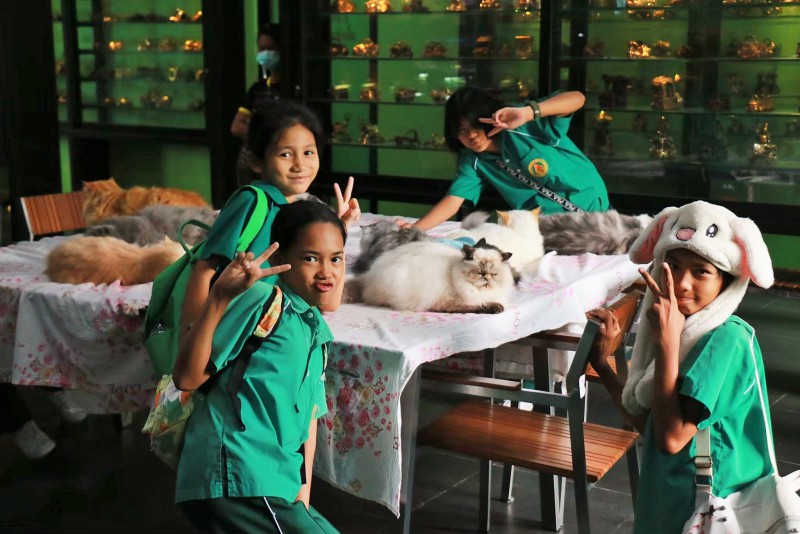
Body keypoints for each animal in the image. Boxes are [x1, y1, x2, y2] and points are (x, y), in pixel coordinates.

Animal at [350, 238, 516, 314]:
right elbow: (477, 306)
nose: (486, 277)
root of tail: (368, 275)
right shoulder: (450, 303)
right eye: (479, 273)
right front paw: (495, 307)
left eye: (493, 274)